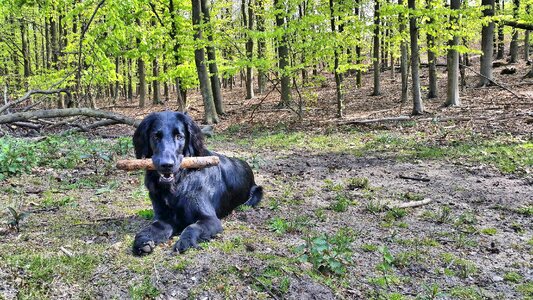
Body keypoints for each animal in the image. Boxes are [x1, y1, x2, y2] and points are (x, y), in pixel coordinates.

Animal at [130, 111, 260, 254]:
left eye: (179, 136)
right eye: (156, 136)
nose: (166, 165)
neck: (178, 184)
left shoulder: (211, 219)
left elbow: (192, 227)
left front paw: (185, 241)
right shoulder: (164, 217)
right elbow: (154, 227)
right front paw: (143, 240)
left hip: (257, 191)